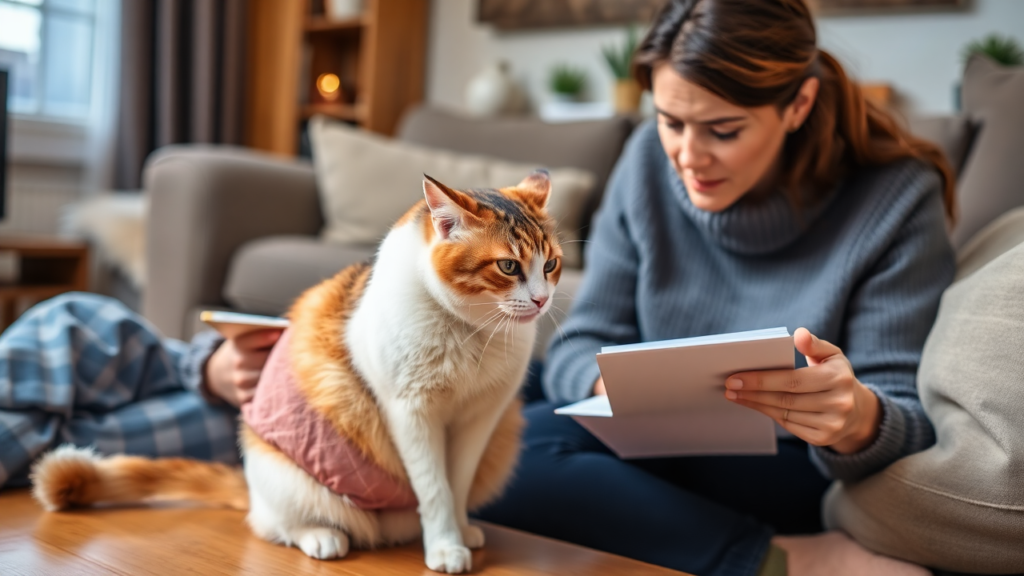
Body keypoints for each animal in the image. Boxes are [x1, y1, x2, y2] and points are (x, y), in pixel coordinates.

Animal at [32, 169, 565, 569]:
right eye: (508, 267)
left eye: (551, 264)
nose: (542, 300)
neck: (474, 334)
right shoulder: (411, 413)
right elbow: (434, 487)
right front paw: (444, 546)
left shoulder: (482, 418)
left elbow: (456, 485)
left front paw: (457, 531)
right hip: (284, 478)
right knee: (273, 525)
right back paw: (320, 536)